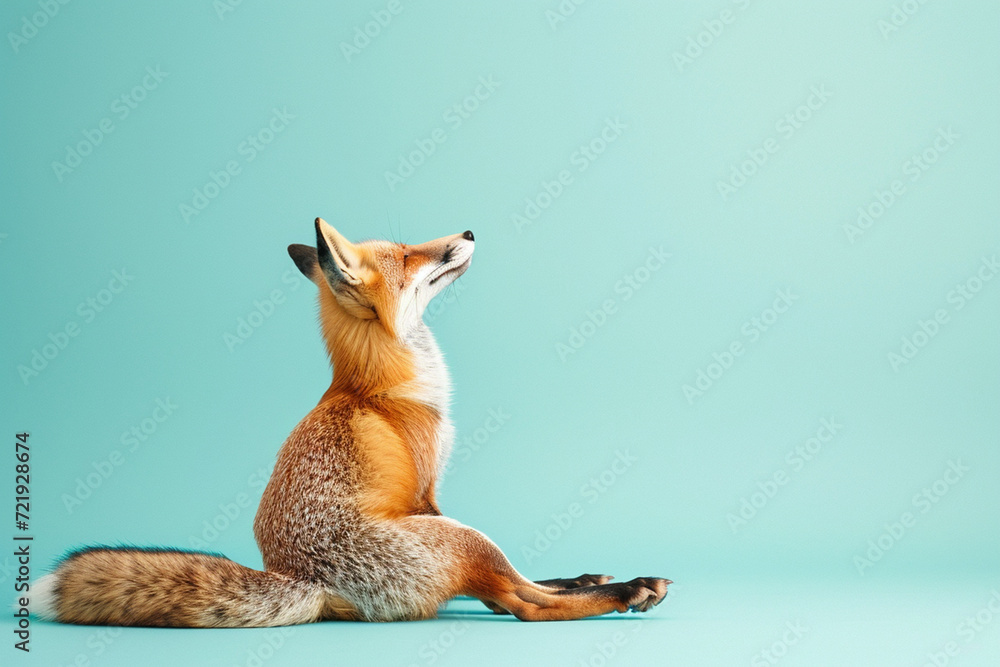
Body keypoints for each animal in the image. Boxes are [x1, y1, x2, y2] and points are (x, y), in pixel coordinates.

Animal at [33, 218, 671, 626]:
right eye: (409, 254)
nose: (468, 234)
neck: (376, 383)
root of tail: (306, 583)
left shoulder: (431, 497)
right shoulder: (426, 492)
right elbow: (512, 592)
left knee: (513, 588)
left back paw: (590, 581)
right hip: (459, 534)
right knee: (524, 602)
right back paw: (627, 591)